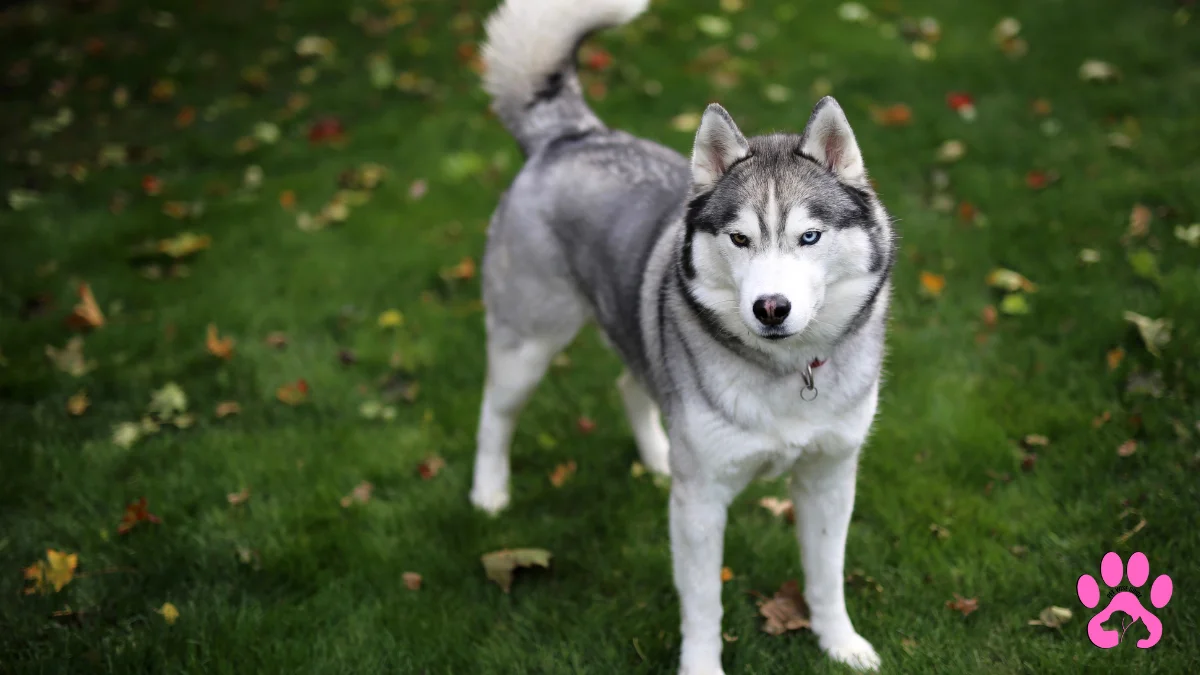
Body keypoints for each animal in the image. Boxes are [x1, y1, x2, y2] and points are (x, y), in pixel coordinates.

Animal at [465, 2, 892, 667]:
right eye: (740, 238)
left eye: (809, 237)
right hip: (527, 343)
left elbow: (826, 575)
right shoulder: (700, 503)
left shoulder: (830, 477)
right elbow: (703, 604)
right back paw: (488, 494)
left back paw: (656, 457)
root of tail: (574, 135)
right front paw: (701, 666)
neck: (783, 374)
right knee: (496, 412)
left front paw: (839, 643)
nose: (771, 308)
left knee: (629, 383)